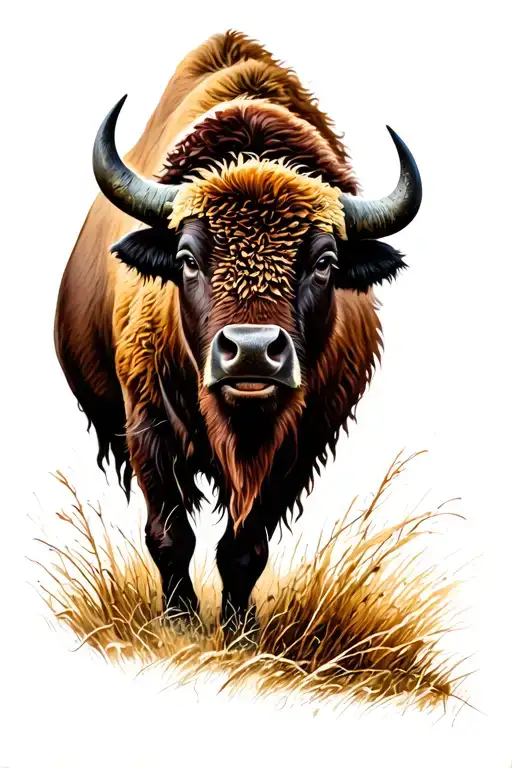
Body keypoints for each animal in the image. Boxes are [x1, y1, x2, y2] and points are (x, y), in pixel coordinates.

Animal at [55, 30, 422, 636]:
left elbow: (245, 547)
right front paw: (180, 621)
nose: (251, 353)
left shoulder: (299, 443)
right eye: (187, 258)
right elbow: (170, 534)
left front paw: (239, 627)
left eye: (324, 262)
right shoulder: (147, 424)